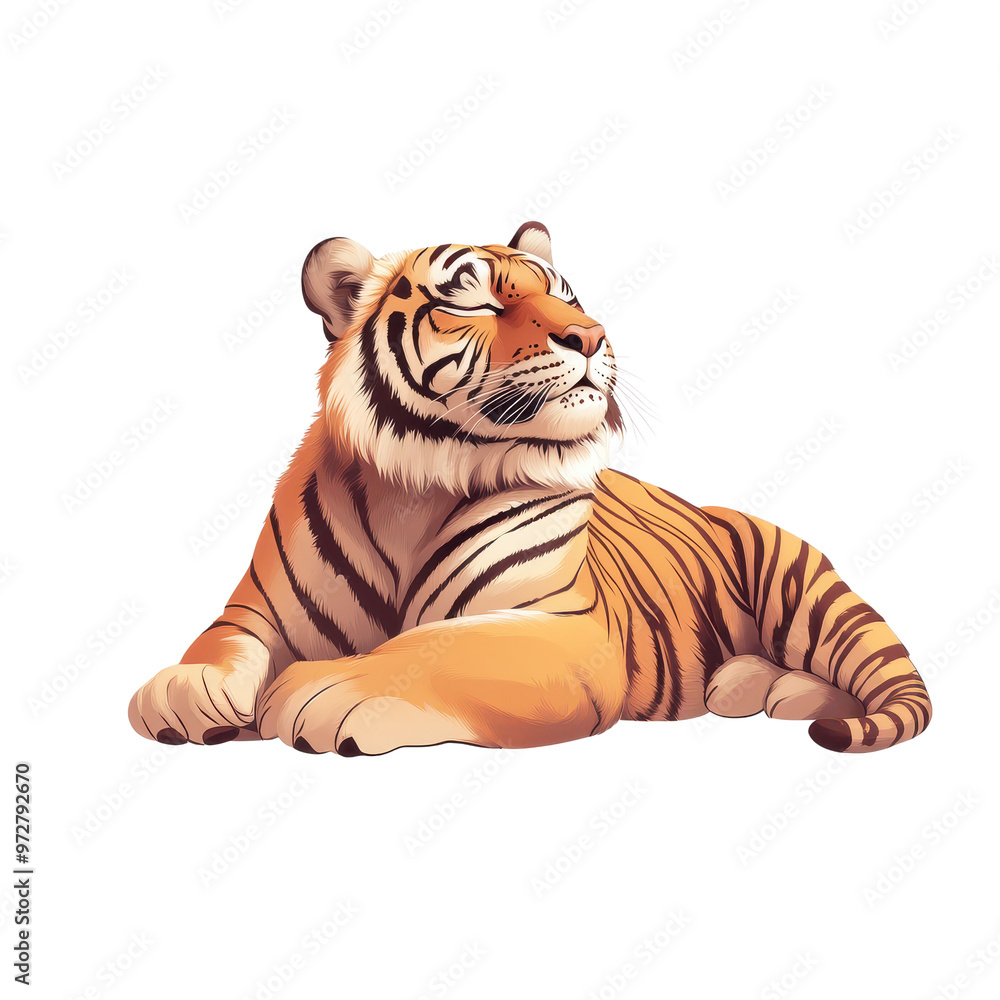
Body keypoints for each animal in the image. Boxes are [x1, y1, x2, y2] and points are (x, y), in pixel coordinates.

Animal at [127, 222, 932, 757]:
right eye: (477, 303)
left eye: (571, 298)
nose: (592, 334)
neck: (412, 493)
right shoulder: (255, 615)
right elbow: (218, 646)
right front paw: (181, 691)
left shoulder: (563, 629)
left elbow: (431, 650)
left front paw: (323, 690)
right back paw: (745, 684)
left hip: (807, 596)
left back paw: (787, 691)